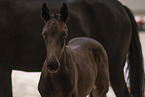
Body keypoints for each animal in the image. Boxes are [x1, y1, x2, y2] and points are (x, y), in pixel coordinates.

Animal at [0, 0, 144, 97]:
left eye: (64, 34)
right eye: (43, 34)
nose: (52, 65)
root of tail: (121, 7)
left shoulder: (5, 67)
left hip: (113, 72)